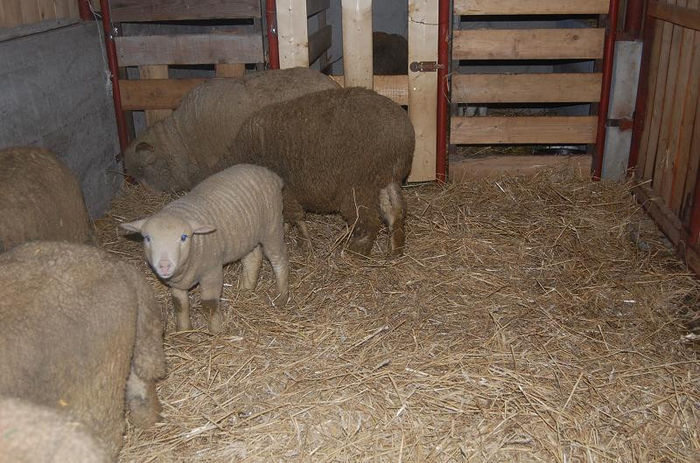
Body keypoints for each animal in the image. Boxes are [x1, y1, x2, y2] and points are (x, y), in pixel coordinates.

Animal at [120, 165, 288, 336]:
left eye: (183, 237)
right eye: (147, 238)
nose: (164, 266)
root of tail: (269, 173)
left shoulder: (211, 272)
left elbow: (209, 304)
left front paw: (216, 332)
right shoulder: (177, 281)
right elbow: (179, 303)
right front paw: (183, 331)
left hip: (272, 226)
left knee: (279, 259)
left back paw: (281, 295)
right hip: (247, 235)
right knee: (253, 258)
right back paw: (246, 289)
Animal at [230, 87, 416, 258]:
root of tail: (402, 132)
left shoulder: (286, 193)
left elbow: (296, 218)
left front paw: (305, 244)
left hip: (358, 184)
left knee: (368, 220)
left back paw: (355, 253)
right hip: (385, 177)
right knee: (396, 212)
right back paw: (395, 250)